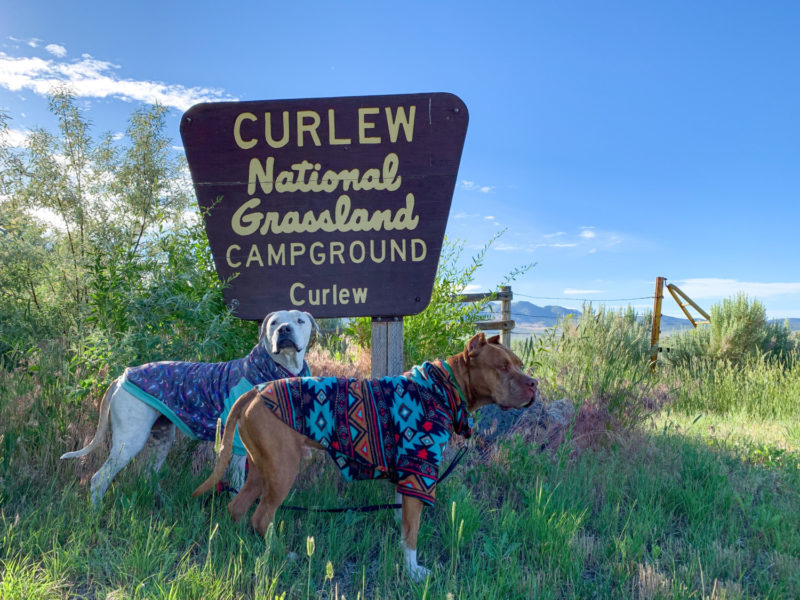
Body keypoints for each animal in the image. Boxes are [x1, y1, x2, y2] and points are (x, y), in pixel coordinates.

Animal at [60, 312, 316, 504]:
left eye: (300, 320)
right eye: (273, 322)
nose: (284, 329)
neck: (274, 369)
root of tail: (122, 378)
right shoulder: (237, 447)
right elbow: (237, 485)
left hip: (161, 439)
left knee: (147, 475)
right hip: (129, 441)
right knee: (99, 479)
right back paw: (95, 515)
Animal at [194, 332, 536, 580]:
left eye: (519, 363)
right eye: (502, 367)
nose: (534, 383)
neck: (442, 388)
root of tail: (254, 391)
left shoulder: (407, 476)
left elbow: (404, 523)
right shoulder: (421, 473)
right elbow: (413, 533)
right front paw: (414, 572)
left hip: (260, 469)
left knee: (238, 508)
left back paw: (246, 545)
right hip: (282, 470)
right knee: (261, 516)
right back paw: (282, 554)